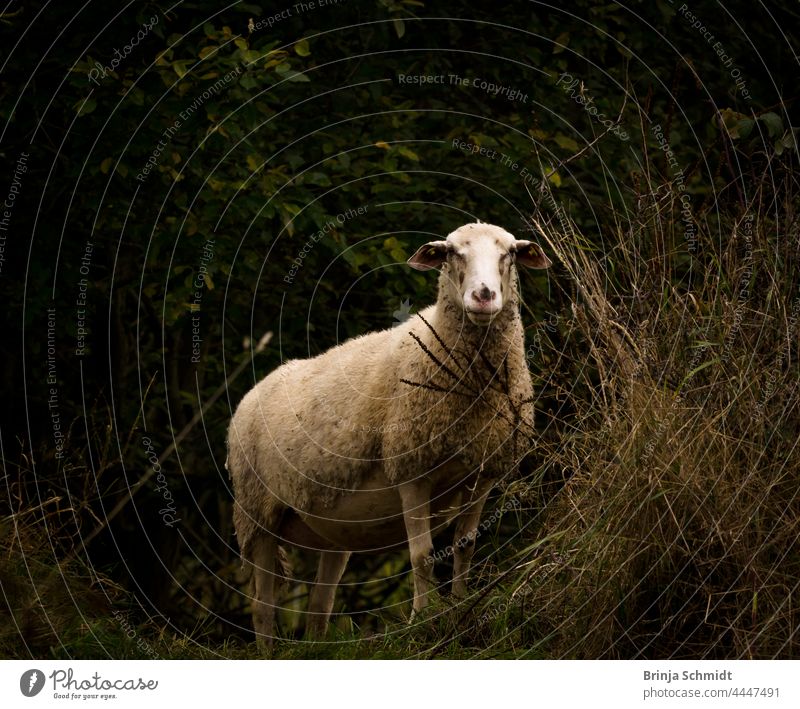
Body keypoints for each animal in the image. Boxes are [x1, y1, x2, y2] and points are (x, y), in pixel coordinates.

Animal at [225, 223, 552, 648]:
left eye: (508, 254)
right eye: (452, 253)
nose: (484, 296)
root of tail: (253, 392)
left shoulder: (483, 471)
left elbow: (465, 546)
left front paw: (459, 610)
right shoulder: (412, 469)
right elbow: (422, 555)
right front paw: (422, 620)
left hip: (332, 529)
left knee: (319, 607)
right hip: (257, 512)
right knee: (262, 606)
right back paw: (267, 649)